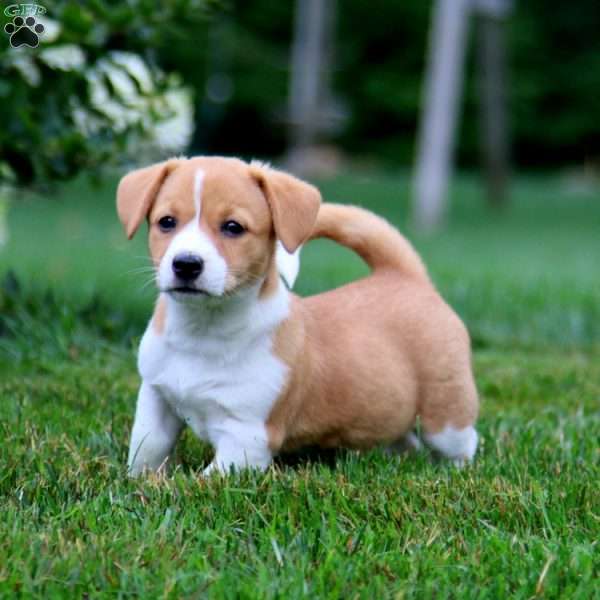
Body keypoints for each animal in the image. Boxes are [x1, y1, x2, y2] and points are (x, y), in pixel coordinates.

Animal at [118, 157, 478, 476]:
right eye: (166, 222)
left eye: (233, 227)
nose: (186, 264)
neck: (203, 330)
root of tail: (403, 274)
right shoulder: (156, 399)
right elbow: (147, 448)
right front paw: (141, 481)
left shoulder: (246, 437)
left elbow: (207, 481)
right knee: (403, 443)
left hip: (445, 415)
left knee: (461, 444)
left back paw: (455, 471)